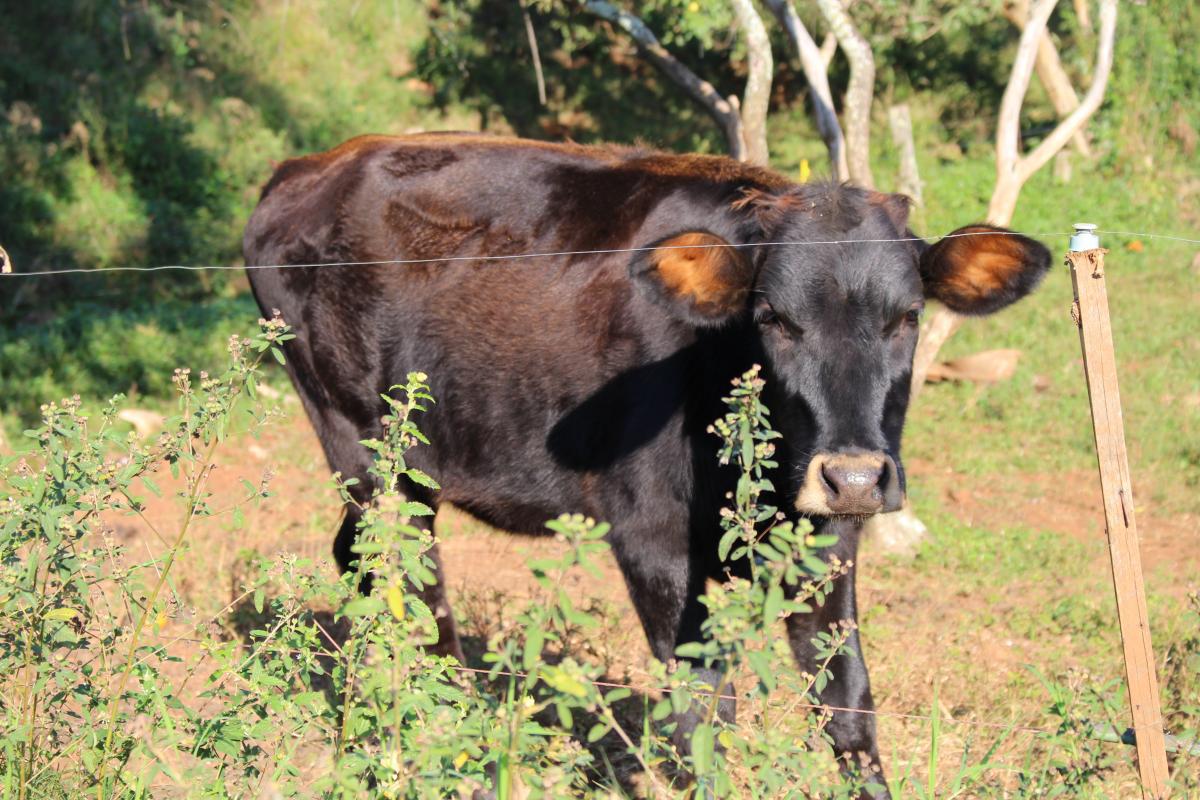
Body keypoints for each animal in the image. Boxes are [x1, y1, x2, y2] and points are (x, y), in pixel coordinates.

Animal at [246, 133, 1051, 796]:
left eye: (907, 316)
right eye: (773, 318)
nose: (851, 475)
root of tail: (308, 167)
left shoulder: (826, 538)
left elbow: (846, 704)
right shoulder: (652, 536)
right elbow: (705, 716)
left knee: (363, 562)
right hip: (362, 442)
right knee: (412, 580)